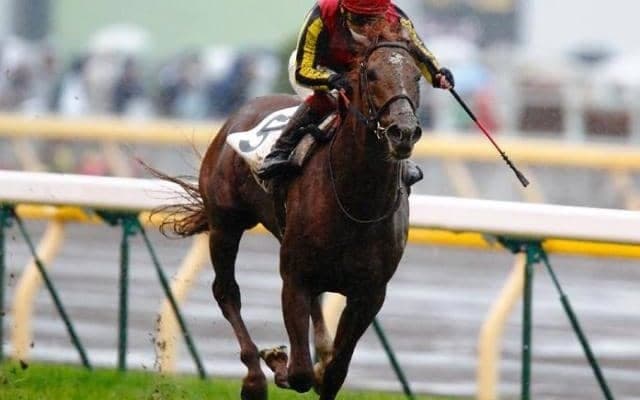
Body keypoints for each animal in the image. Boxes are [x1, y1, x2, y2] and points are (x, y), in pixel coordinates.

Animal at [158, 31, 423, 400]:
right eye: (370, 74)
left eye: (417, 76)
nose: (404, 131)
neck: (358, 201)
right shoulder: (294, 279)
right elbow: (300, 373)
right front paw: (277, 361)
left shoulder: (370, 293)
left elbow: (334, 373)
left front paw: (323, 365)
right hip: (225, 224)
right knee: (226, 292)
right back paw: (254, 378)